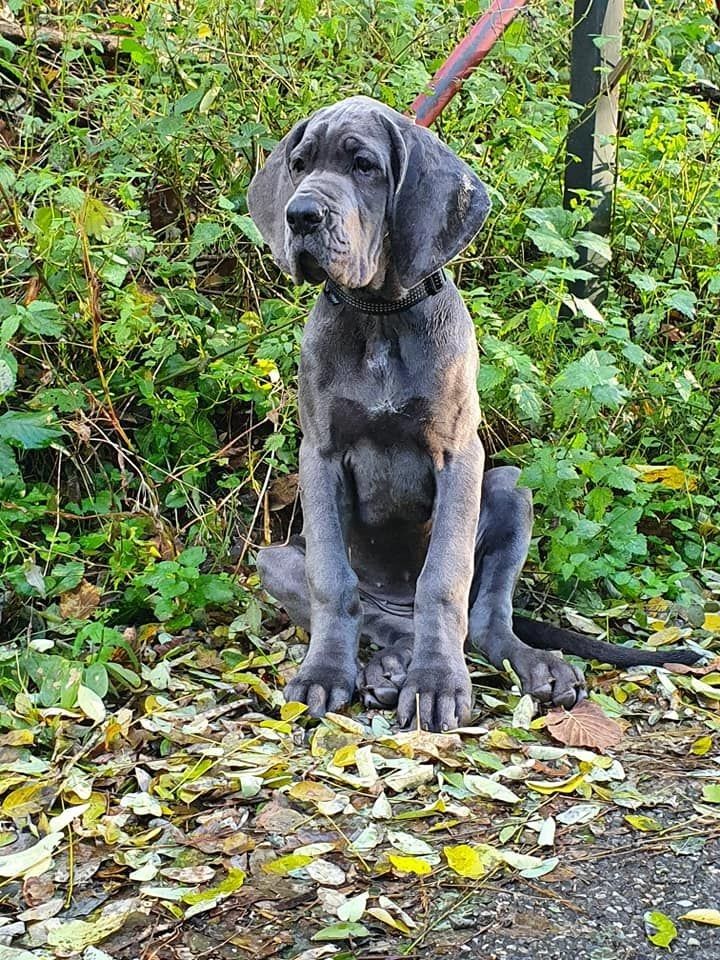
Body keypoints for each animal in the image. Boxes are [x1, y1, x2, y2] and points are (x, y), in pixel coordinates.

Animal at [248, 96, 699, 732]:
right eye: (300, 163)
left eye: (364, 165)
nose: (301, 215)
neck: (380, 316)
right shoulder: (321, 454)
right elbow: (333, 582)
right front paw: (325, 673)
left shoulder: (458, 454)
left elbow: (446, 578)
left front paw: (436, 684)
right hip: (274, 558)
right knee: (379, 619)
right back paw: (387, 664)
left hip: (510, 488)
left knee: (484, 618)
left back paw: (531, 666)